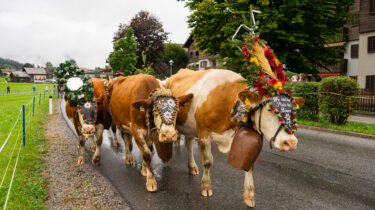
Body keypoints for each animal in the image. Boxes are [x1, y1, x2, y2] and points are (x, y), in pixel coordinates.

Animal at [165, 69, 306, 207]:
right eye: (270, 110)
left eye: (294, 111)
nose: (291, 143)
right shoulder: (203, 132)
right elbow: (208, 162)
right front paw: (206, 187)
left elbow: (249, 164)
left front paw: (249, 196)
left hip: (189, 126)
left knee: (188, 143)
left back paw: (192, 167)